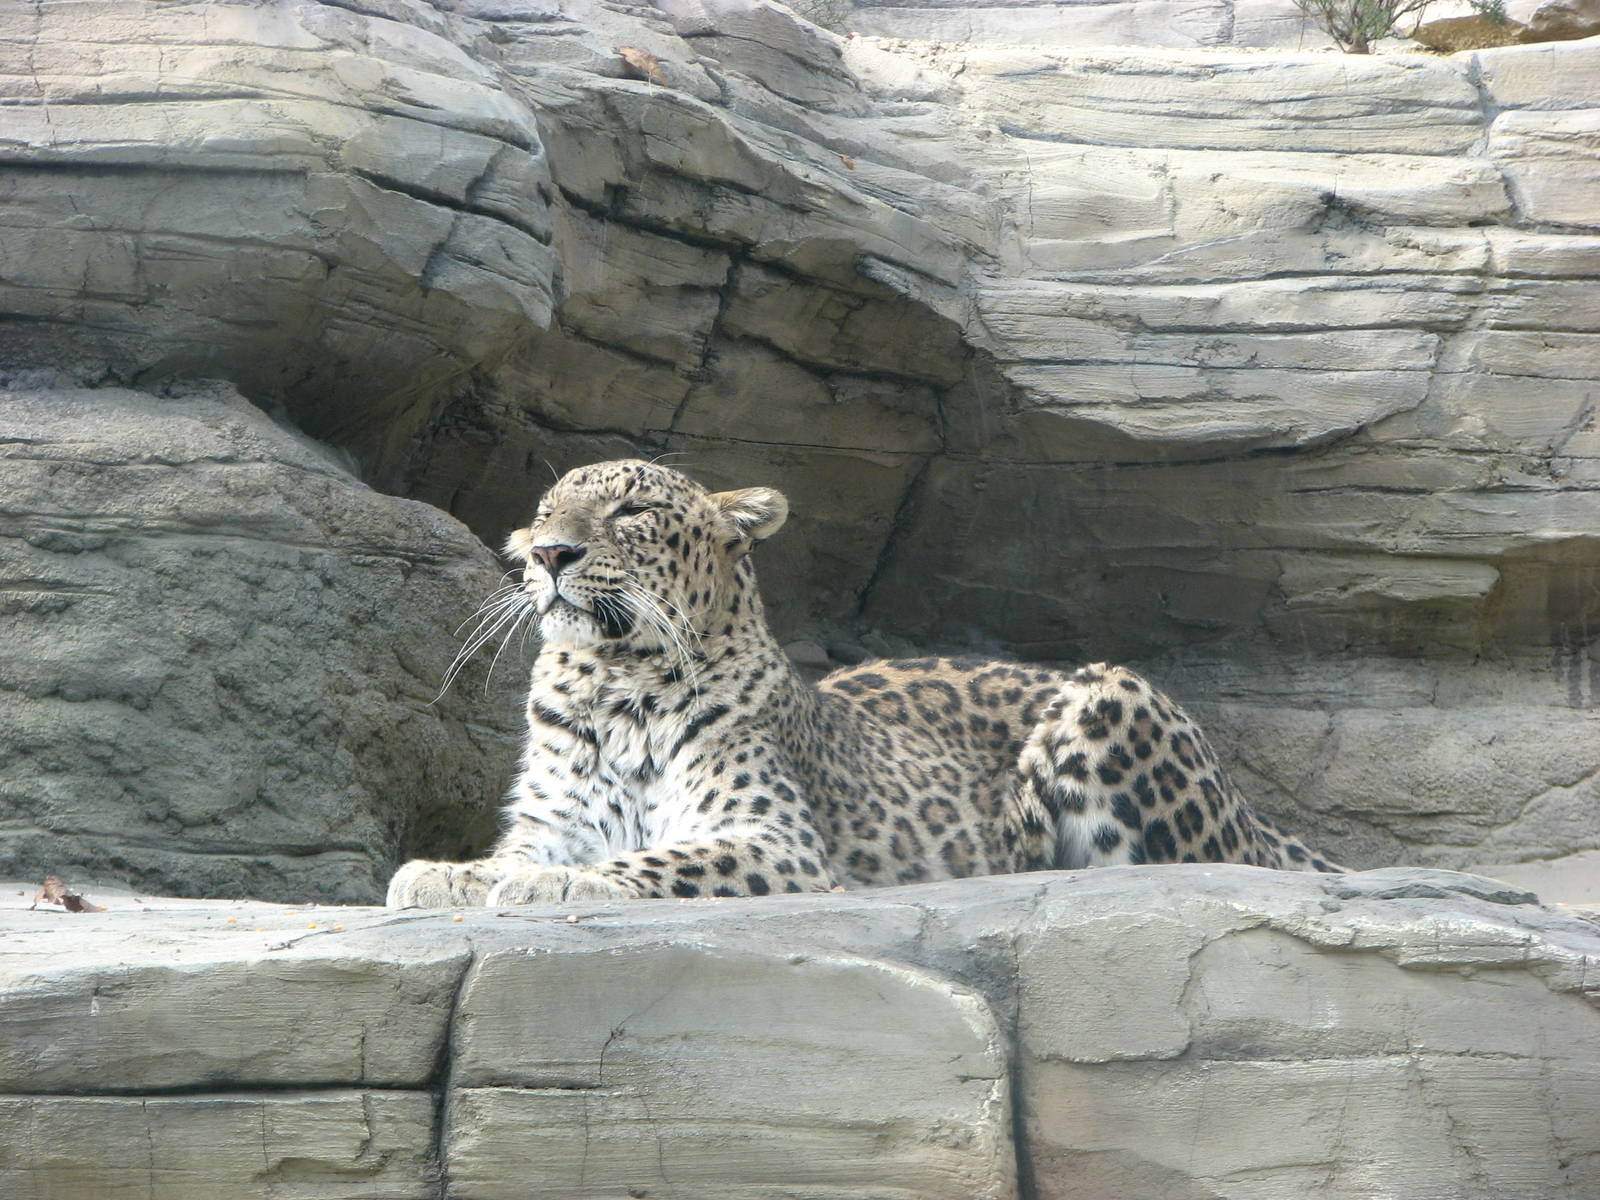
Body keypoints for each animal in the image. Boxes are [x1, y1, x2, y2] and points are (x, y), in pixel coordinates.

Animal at [387, 459, 1341, 907]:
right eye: (547, 513)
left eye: (632, 511)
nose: (548, 554)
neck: (612, 682)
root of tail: (1254, 812)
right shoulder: (550, 822)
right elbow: (507, 857)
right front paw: (441, 873)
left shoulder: (775, 842)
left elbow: (658, 858)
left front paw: (562, 886)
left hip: (1112, 695)